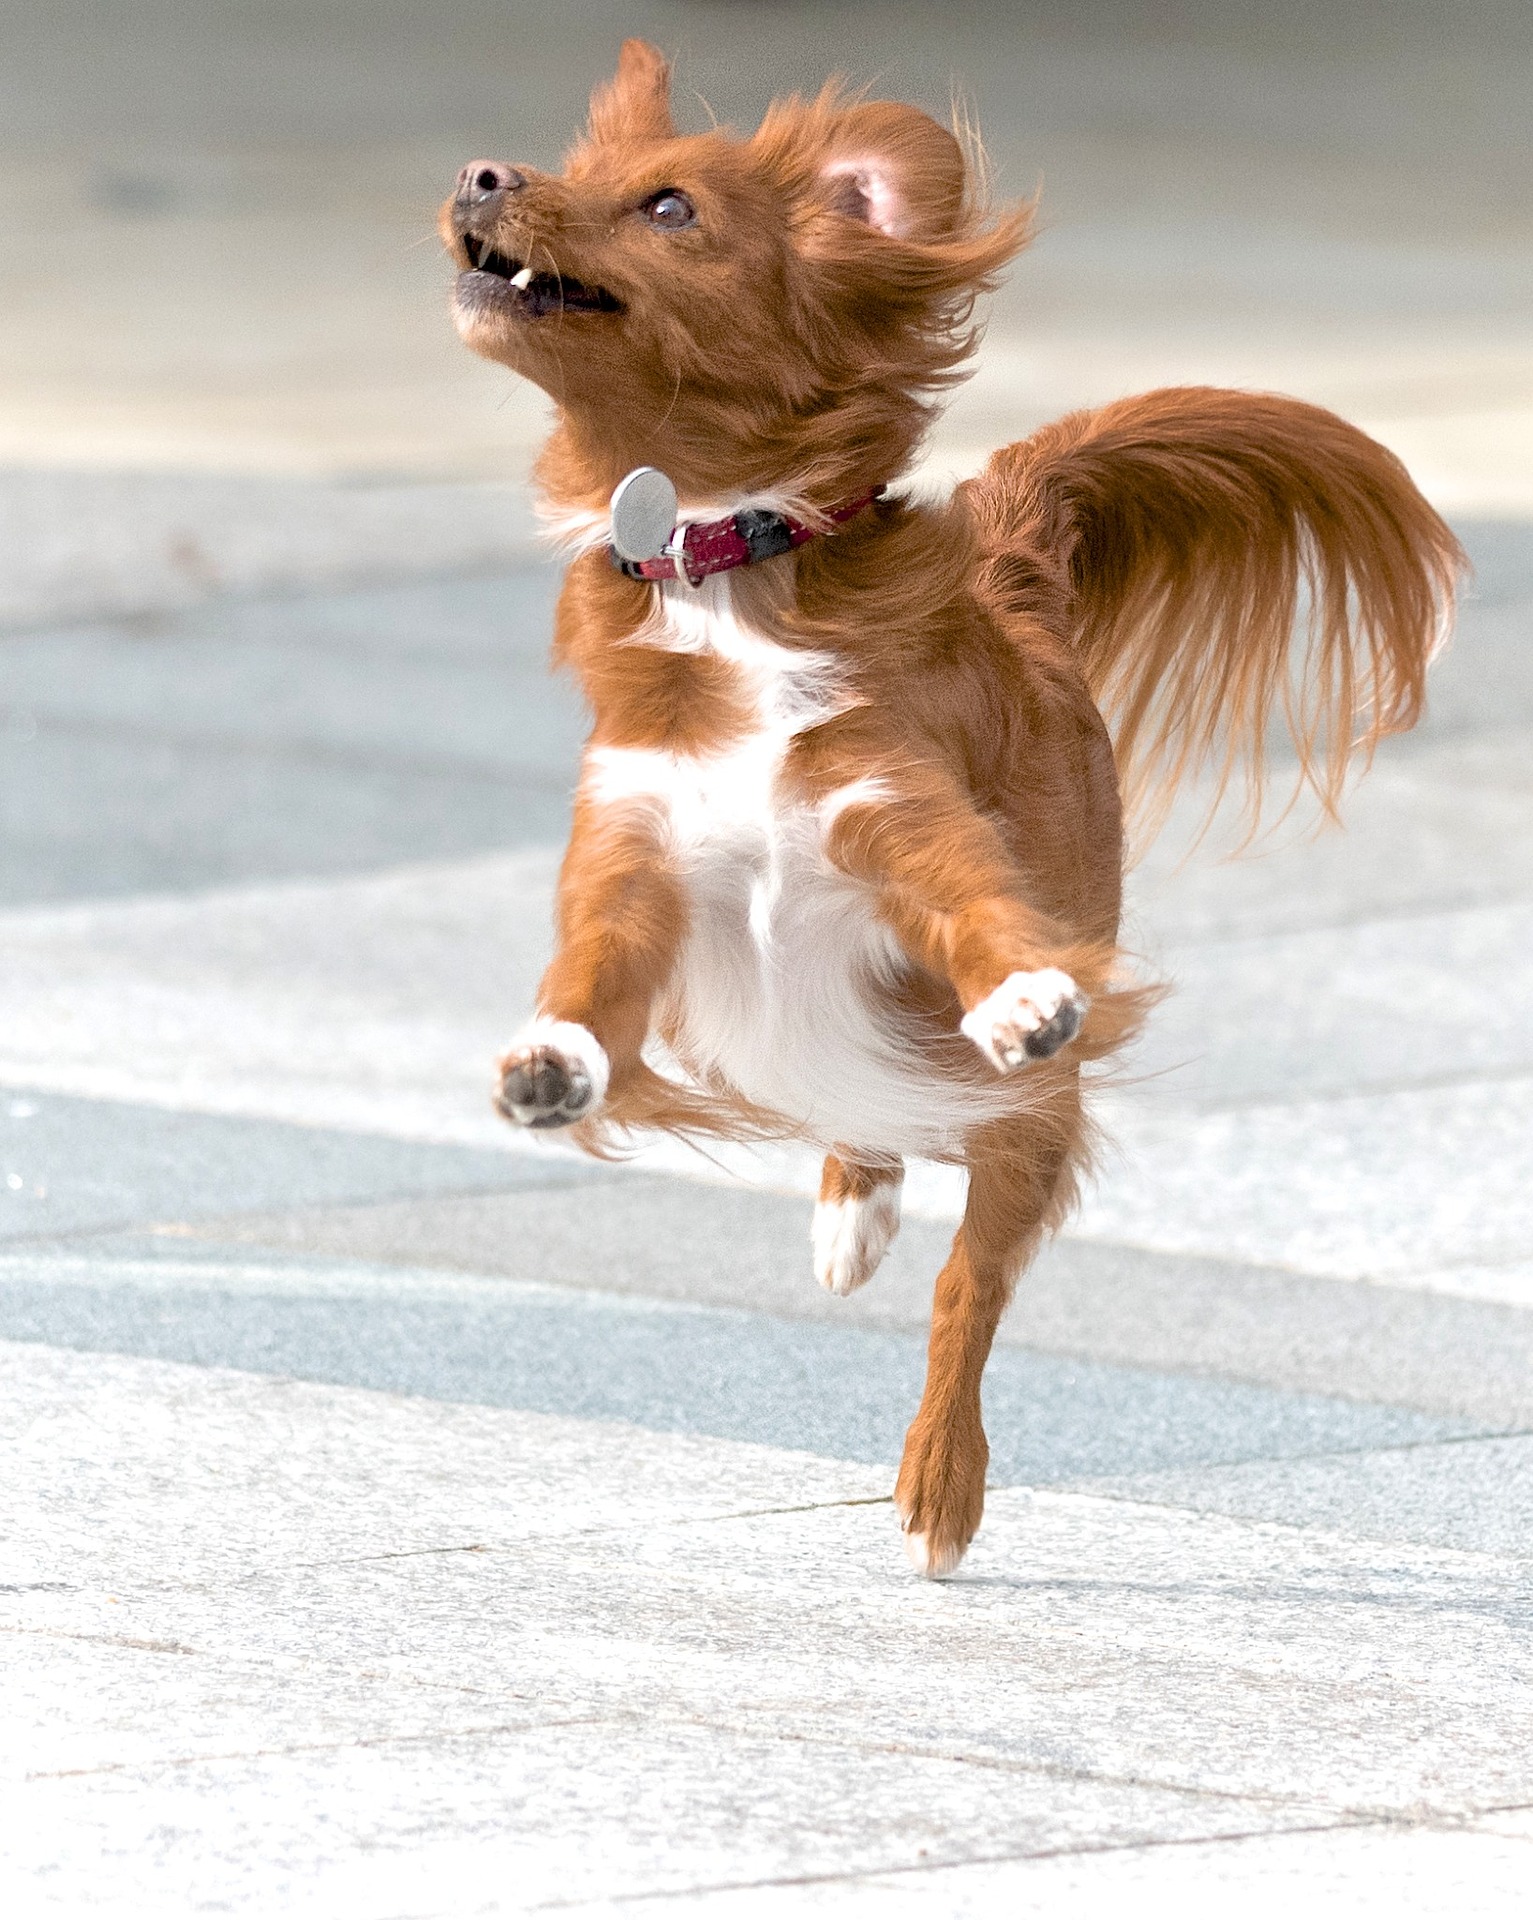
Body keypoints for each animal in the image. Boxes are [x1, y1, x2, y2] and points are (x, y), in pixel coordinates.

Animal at [441, 41, 1467, 1574]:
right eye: (568, 166)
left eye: (669, 205)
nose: (481, 174)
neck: (725, 566)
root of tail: (1016, 564)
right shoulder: (633, 856)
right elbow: (592, 977)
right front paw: (548, 1063)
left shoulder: (896, 812)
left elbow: (975, 914)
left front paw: (1021, 993)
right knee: (874, 1136)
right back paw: (850, 1213)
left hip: (1021, 1123)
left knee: (966, 1287)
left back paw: (940, 1478)